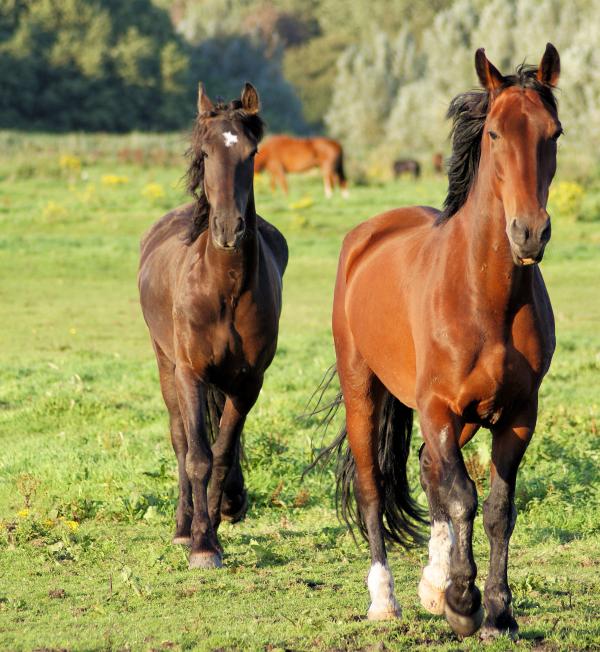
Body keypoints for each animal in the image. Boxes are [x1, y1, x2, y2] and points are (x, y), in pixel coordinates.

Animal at [138, 82, 288, 569]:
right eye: (206, 152)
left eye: (251, 152)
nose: (228, 230)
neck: (223, 288)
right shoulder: (190, 372)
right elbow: (197, 455)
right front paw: (201, 542)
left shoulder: (248, 381)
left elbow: (222, 452)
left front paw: (221, 520)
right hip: (166, 364)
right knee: (181, 441)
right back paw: (184, 526)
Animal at [311, 44, 561, 639]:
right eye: (493, 133)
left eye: (555, 132)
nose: (529, 233)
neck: (484, 298)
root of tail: (367, 234)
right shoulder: (437, 407)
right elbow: (464, 497)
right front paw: (465, 605)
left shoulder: (519, 413)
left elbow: (496, 508)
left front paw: (496, 612)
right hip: (365, 389)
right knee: (375, 486)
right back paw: (386, 600)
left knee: (428, 468)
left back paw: (432, 582)